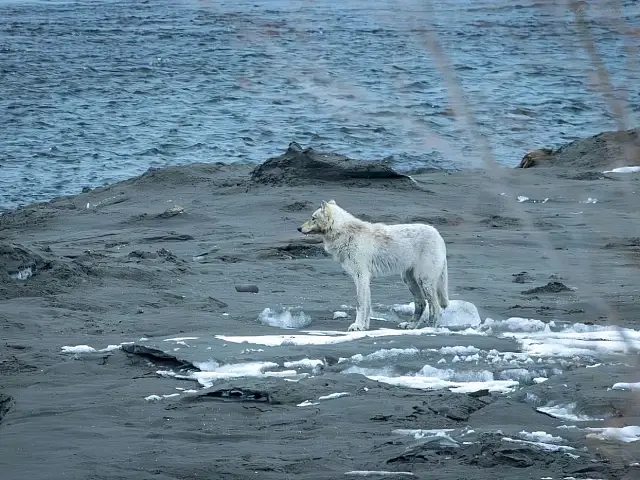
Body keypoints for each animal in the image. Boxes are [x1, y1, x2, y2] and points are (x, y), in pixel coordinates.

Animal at [297, 200, 449, 332]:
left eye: (313, 218)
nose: (298, 228)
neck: (345, 233)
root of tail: (439, 235)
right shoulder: (362, 278)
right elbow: (367, 305)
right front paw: (363, 327)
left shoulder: (361, 276)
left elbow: (360, 305)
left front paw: (356, 326)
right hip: (409, 280)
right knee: (421, 304)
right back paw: (411, 326)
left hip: (424, 281)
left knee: (435, 307)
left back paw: (430, 329)